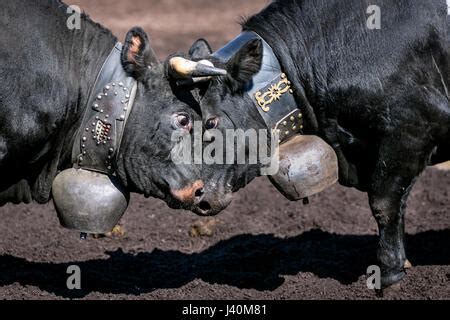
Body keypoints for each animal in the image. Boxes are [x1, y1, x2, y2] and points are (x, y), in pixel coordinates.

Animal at [171, 0, 450, 288]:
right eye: (184, 120)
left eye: (211, 121)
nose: (194, 195)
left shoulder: (412, 129)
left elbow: (383, 204)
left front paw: (388, 273)